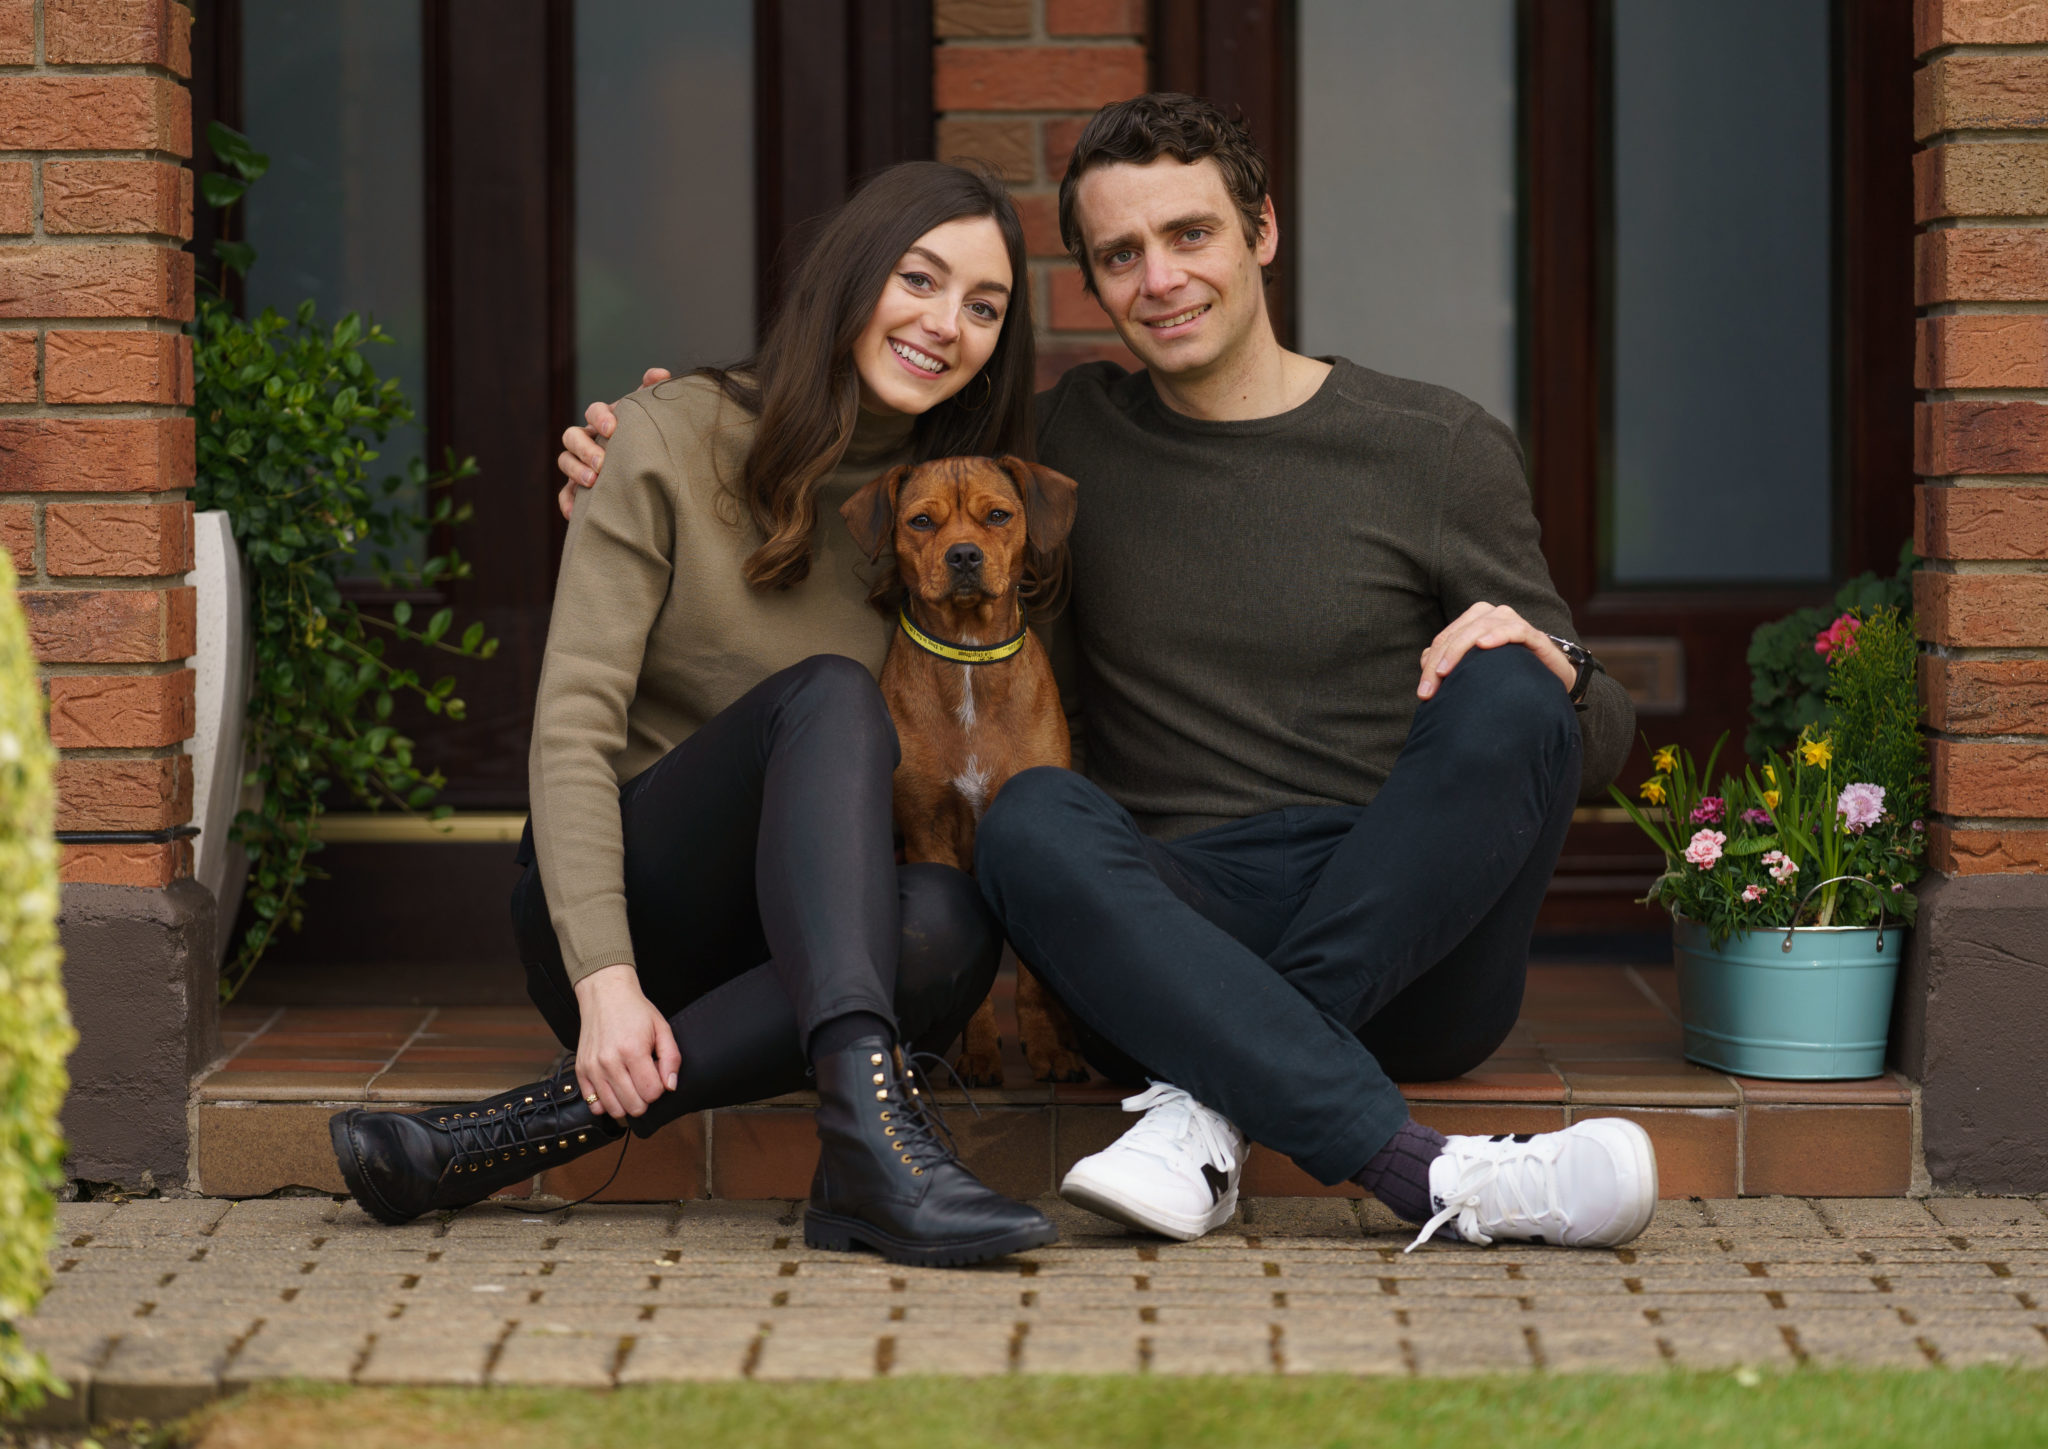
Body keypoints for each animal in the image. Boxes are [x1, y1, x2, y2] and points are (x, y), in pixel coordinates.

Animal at [839, 456, 1097, 1088]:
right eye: (921, 521)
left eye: (998, 516)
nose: (963, 555)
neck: (968, 655)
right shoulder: (930, 831)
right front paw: (979, 1055)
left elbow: (1029, 976)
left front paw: (1046, 1050)